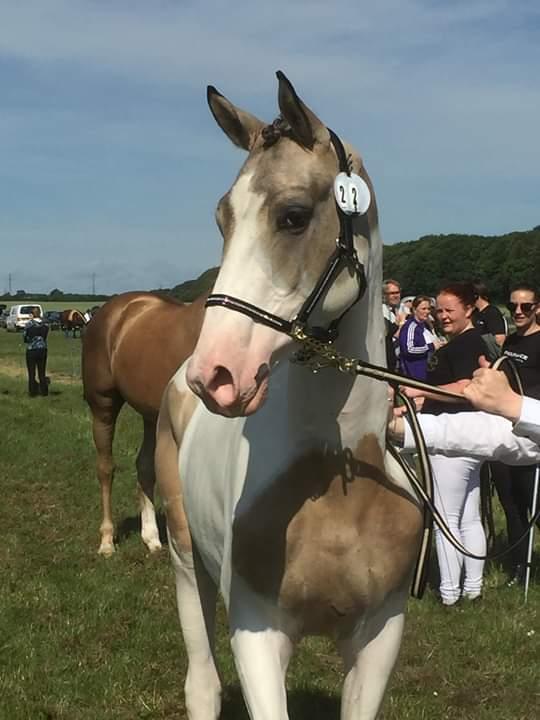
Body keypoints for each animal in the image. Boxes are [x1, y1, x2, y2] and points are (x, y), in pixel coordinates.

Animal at [81, 290, 206, 556]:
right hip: (103, 407)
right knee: (105, 468)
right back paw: (107, 541)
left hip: (152, 418)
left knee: (145, 467)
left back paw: (151, 537)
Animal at [154, 70, 424, 716]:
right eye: (222, 219)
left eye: (294, 216)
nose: (216, 373)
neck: (339, 483)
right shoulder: (256, 632)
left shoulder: (380, 637)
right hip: (185, 559)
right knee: (202, 683)